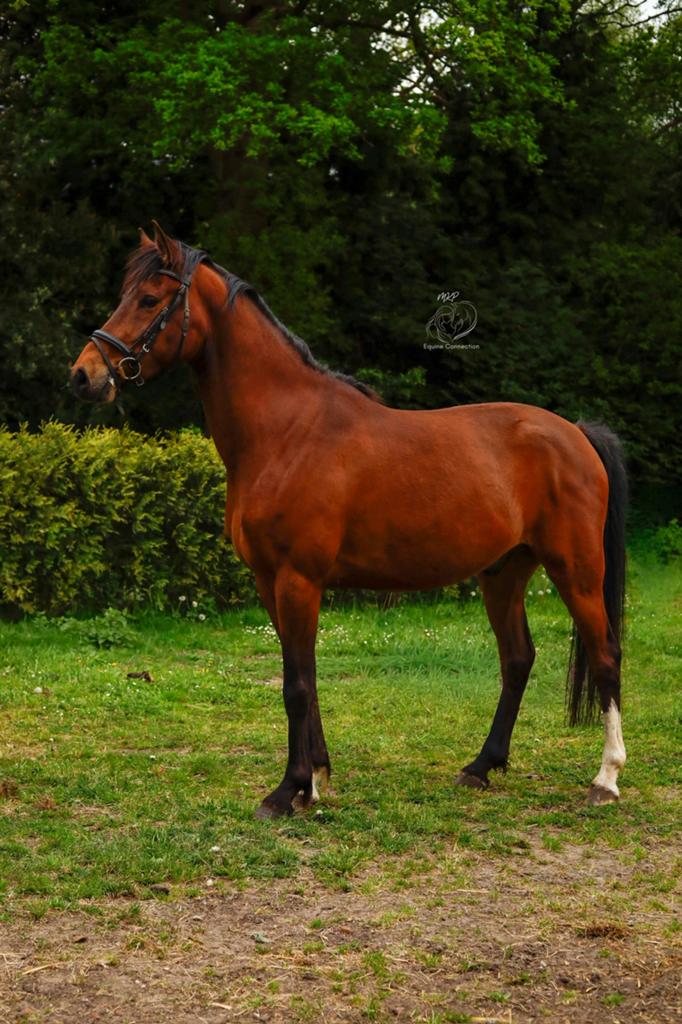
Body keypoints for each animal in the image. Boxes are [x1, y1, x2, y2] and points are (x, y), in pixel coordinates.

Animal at [71, 222, 628, 819]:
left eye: (150, 299)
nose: (84, 375)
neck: (287, 431)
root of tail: (575, 432)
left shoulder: (298, 579)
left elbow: (295, 685)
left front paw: (287, 791)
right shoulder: (270, 582)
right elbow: (305, 679)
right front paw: (315, 780)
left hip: (576, 570)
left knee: (605, 655)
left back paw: (605, 779)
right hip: (504, 572)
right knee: (518, 659)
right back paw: (481, 767)